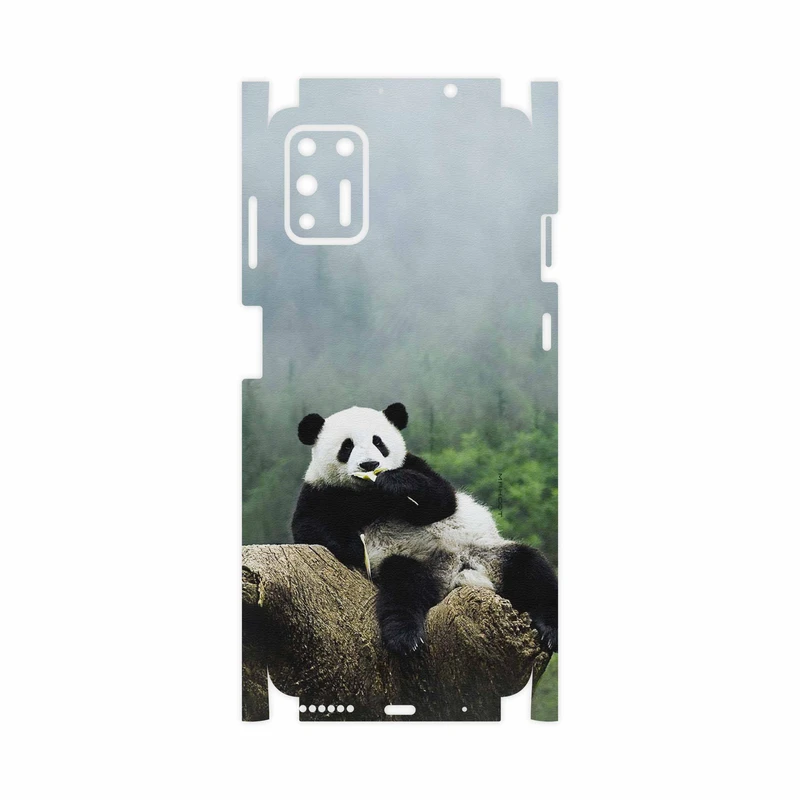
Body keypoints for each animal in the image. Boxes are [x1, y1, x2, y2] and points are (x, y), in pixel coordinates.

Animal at [292, 403, 558, 655]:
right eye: (346, 446)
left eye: (378, 442)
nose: (370, 464)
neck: (368, 494)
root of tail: (457, 573)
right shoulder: (321, 491)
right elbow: (309, 527)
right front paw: (356, 547)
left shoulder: (415, 465)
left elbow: (442, 500)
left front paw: (394, 483)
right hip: (412, 561)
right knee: (403, 587)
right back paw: (405, 637)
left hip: (489, 553)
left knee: (532, 569)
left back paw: (551, 630)